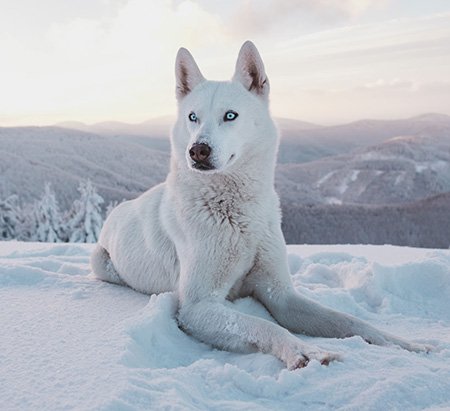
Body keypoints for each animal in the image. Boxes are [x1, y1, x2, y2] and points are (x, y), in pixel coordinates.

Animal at [90, 41, 428, 370]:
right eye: (192, 117)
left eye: (230, 115)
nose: (197, 150)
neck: (237, 214)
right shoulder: (198, 306)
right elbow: (264, 325)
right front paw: (305, 351)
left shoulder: (281, 295)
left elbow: (349, 321)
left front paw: (404, 344)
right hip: (101, 262)